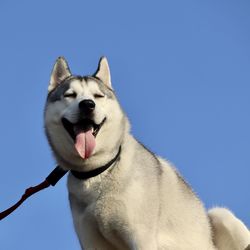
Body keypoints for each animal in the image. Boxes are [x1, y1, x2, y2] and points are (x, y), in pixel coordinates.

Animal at [45, 57, 250, 250]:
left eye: (98, 96)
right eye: (70, 95)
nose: (88, 105)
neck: (99, 172)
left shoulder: (140, 237)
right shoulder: (91, 241)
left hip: (221, 215)